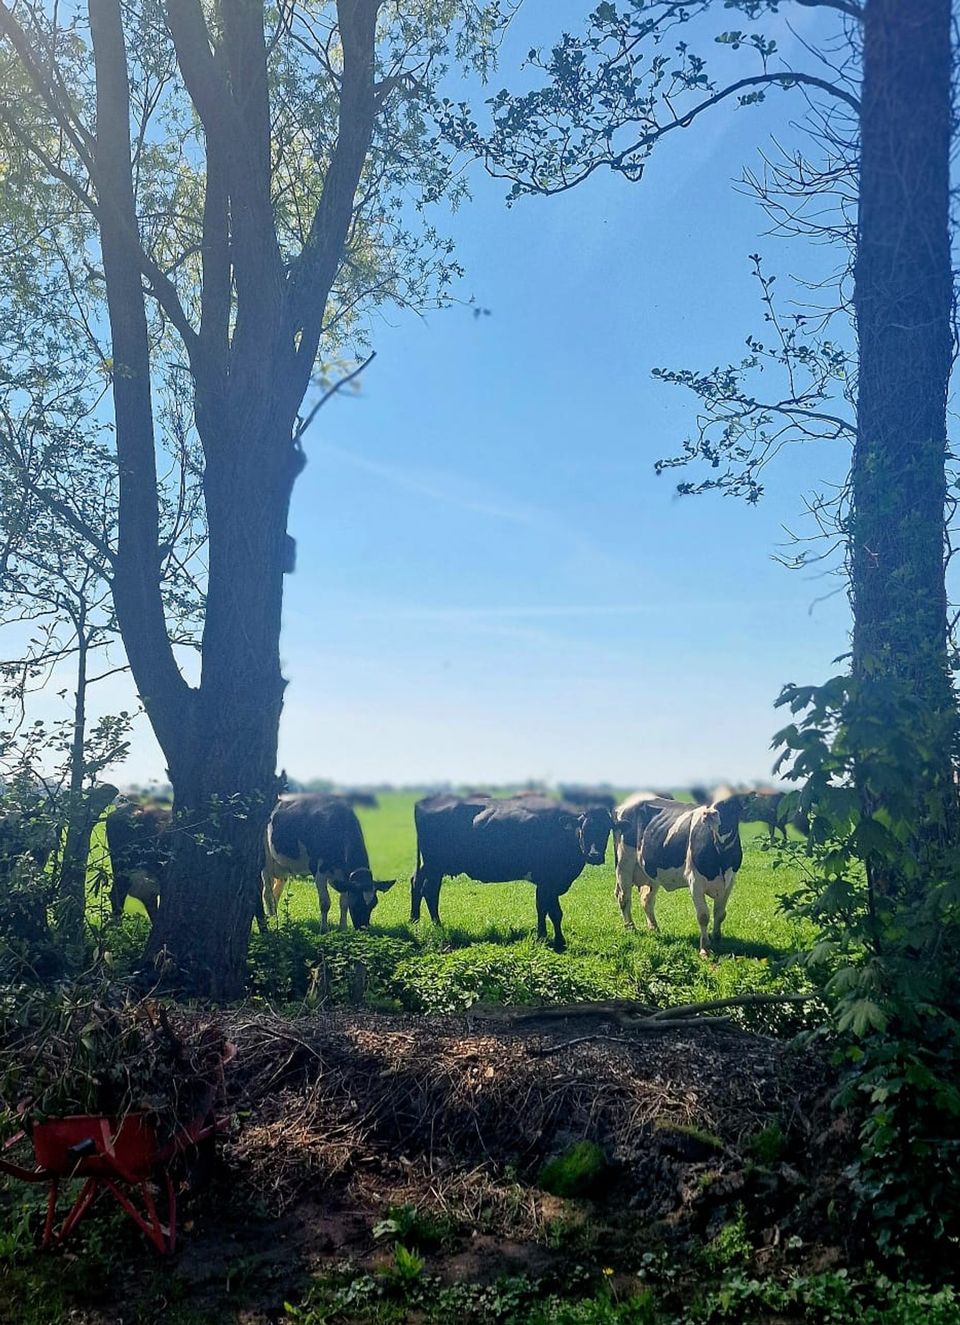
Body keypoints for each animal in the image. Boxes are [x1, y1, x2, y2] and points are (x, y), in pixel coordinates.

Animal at [261, 793, 395, 931]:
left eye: (374, 904)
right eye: (356, 902)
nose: (364, 929)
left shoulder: (344, 877)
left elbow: (343, 903)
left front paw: (343, 928)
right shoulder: (319, 871)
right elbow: (325, 903)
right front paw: (324, 929)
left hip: (282, 867)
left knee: (276, 892)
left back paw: (275, 916)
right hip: (266, 862)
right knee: (267, 893)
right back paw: (272, 919)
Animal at [410, 794, 617, 951]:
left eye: (606, 830)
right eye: (584, 829)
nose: (594, 855)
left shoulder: (549, 882)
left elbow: (546, 909)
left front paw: (547, 938)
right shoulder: (547, 880)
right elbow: (552, 911)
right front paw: (554, 941)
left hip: (433, 866)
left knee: (419, 884)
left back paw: (416, 922)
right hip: (435, 864)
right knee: (428, 890)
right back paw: (434, 926)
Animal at [614, 797, 744, 957]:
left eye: (731, 802)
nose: (708, 814)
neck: (721, 855)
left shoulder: (729, 882)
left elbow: (720, 913)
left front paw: (717, 938)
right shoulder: (695, 881)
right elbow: (703, 916)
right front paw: (704, 949)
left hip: (651, 870)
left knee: (646, 899)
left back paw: (654, 928)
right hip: (624, 864)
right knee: (624, 898)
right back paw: (631, 928)